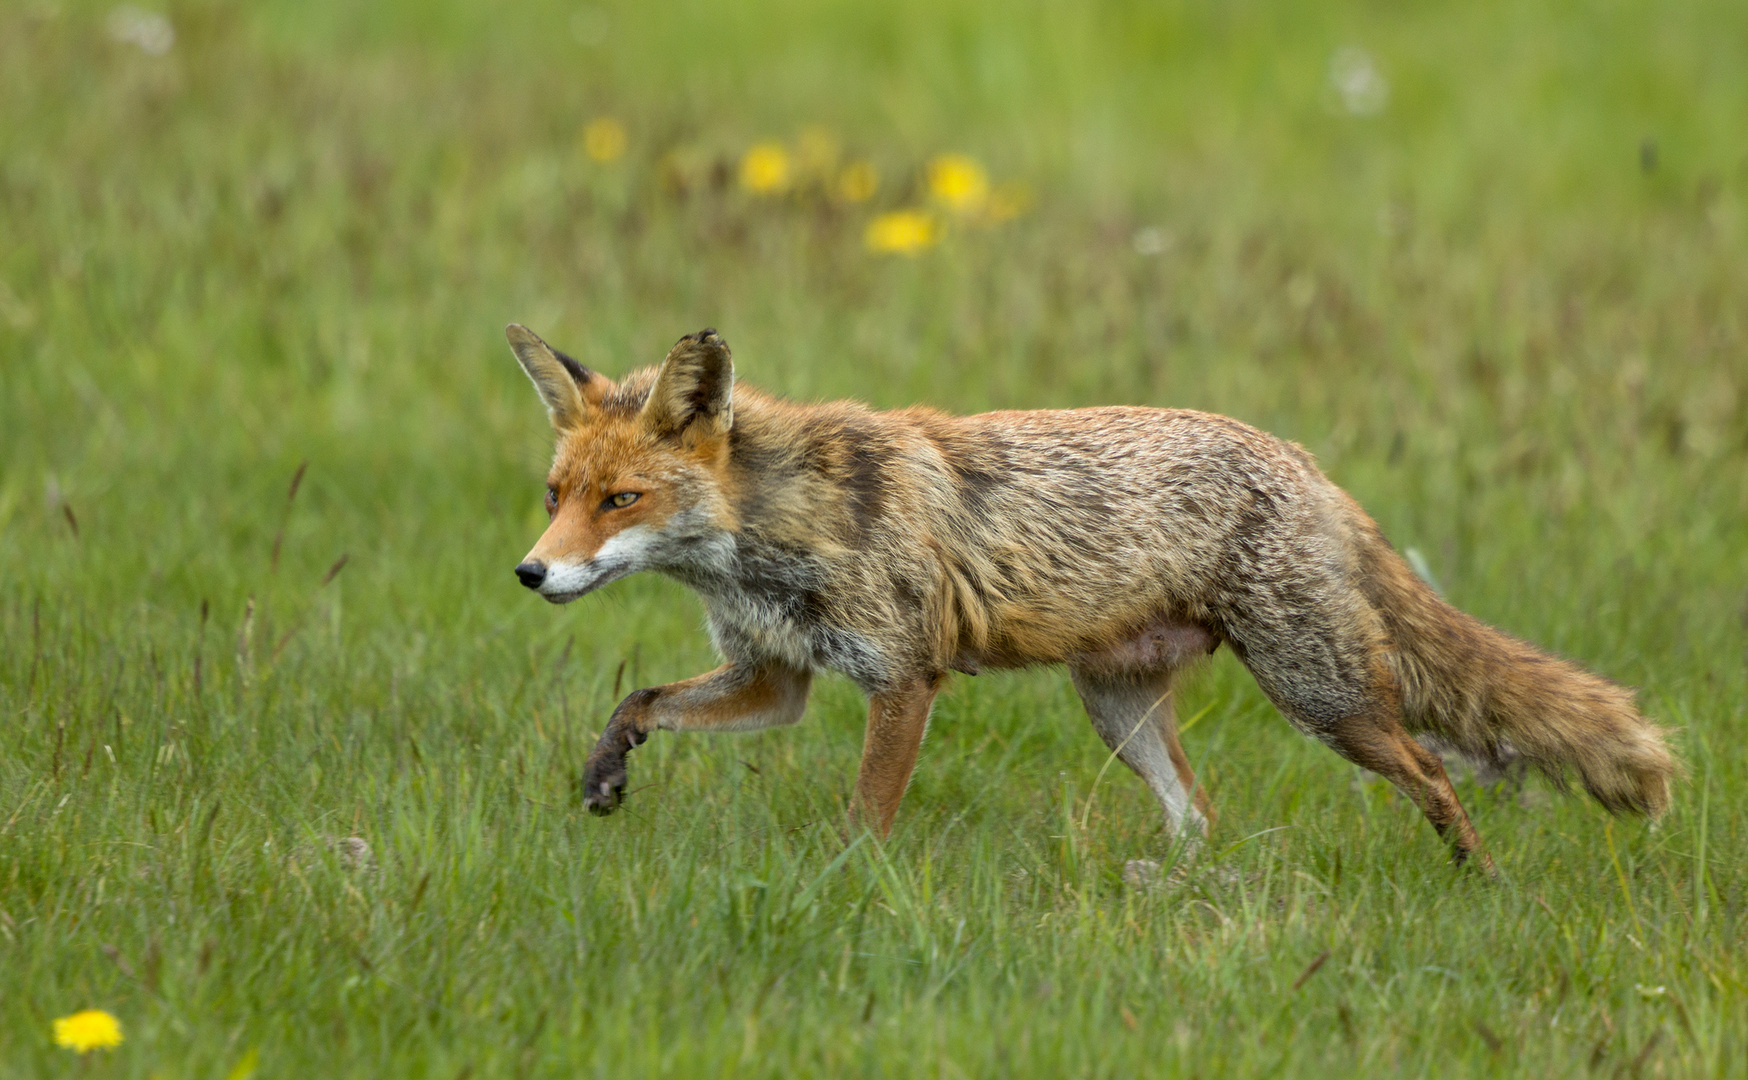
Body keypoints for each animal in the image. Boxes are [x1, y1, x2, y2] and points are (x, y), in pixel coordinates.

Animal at [506, 321, 1678, 866]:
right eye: (557, 495)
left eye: (620, 499)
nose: (530, 572)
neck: (778, 532)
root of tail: (1309, 465)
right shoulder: (775, 680)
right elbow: (638, 701)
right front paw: (605, 776)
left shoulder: (903, 679)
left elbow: (864, 819)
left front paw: (841, 889)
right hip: (1118, 708)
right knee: (1200, 817)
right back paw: (1179, 894)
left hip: (1321, 695)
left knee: (1433, 772)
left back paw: (1476, 881)